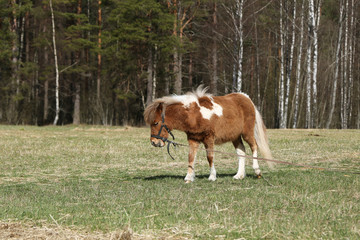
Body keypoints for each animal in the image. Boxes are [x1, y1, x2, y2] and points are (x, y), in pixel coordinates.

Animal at [143, 86, 272, 182]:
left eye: (156, 123)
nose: (154, 142)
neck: (195, 115)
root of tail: (246, 97)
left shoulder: (209, 138)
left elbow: (210, 157)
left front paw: (212, 176)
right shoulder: (193, 139)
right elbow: (191, 157)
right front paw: (188, 177)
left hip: (247, 133)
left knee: (254, 146)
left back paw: (257, 171)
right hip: (235, 136)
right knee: (241, 151)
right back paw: (239, 175)